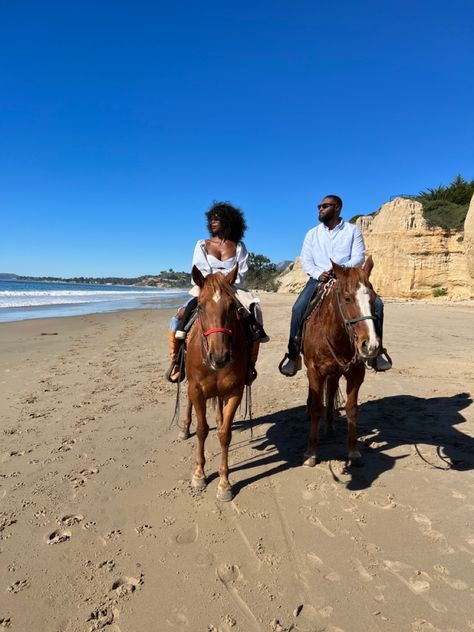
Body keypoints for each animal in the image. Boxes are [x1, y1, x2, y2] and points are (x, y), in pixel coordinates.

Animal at [183, 264, 246, 502]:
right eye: (200, 307)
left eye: (233, 306)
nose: (219, 357)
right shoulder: (196, 390)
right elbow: (202, 430)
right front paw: (199, 474)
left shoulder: (235, 391)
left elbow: (224, 435)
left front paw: (224, 483)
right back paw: (184, 427)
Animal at [304, 256, 382, 470]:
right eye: (347, 298)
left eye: (373, 298)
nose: (370, 345)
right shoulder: (314, 371)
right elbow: (316, 408)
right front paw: (311, 453)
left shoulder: (355, 373)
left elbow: (351, 409)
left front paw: (354, 452)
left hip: (335, 371)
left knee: (331, 392)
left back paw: (330, 427)